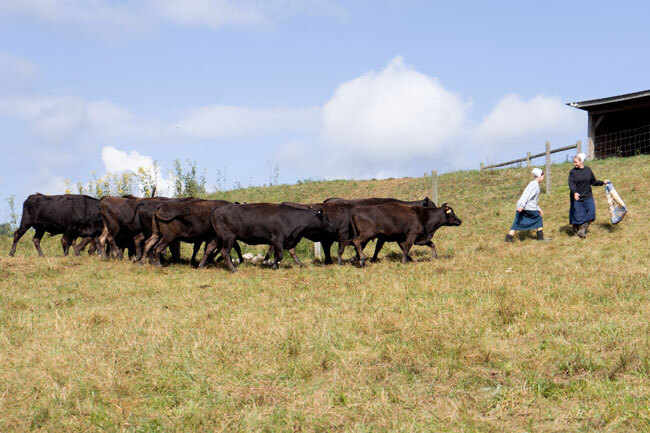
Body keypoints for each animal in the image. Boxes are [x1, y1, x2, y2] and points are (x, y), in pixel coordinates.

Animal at [201, 203, 336, 272]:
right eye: (325, 218)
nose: (332, 228)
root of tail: (215, 210)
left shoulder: (285, 240)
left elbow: (287, 252)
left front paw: (297, 264)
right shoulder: (277, 239)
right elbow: (279, 255)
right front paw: (268, 263)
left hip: (217, 237)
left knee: (209, 248)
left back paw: (201, 265)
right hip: (228, 237)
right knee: (225, 252)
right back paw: (233, 269)